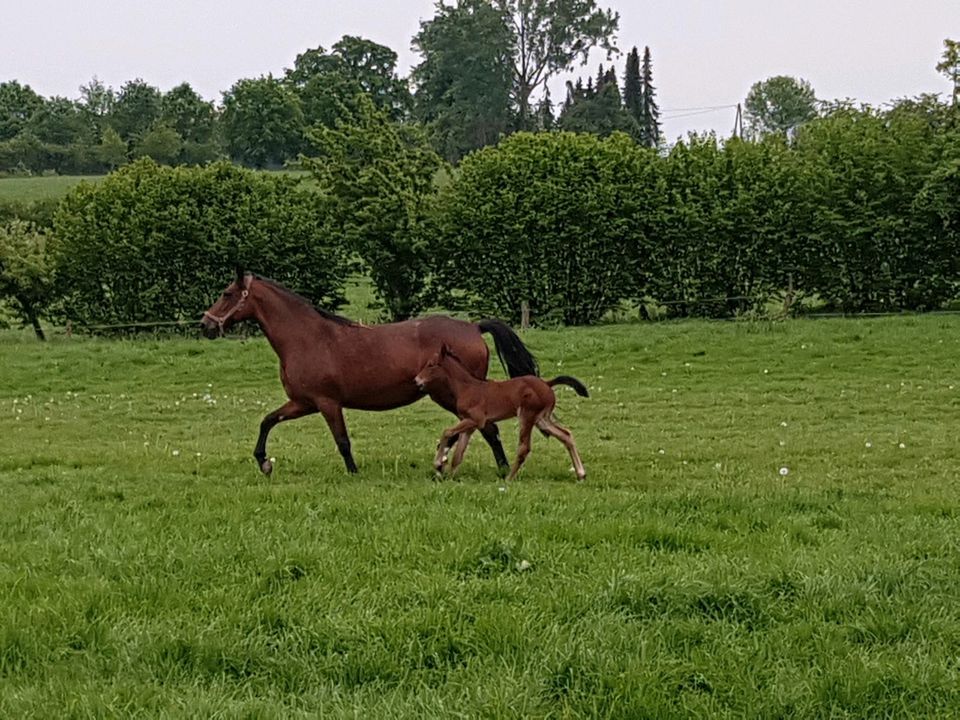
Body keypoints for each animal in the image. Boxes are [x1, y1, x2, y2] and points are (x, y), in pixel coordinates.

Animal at [416, 344, 588, 480]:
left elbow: (447, 432)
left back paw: (509, 479)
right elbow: (458, 454)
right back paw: (581, 474)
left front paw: (438, 463)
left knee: (524, 447)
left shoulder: (476, 420)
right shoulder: (469, 424)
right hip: (542, 419)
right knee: (566, 435)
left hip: (527, 415)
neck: (467, 387)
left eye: (431, 365)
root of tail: (547, 383)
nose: (416, 380)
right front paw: (451, 477)